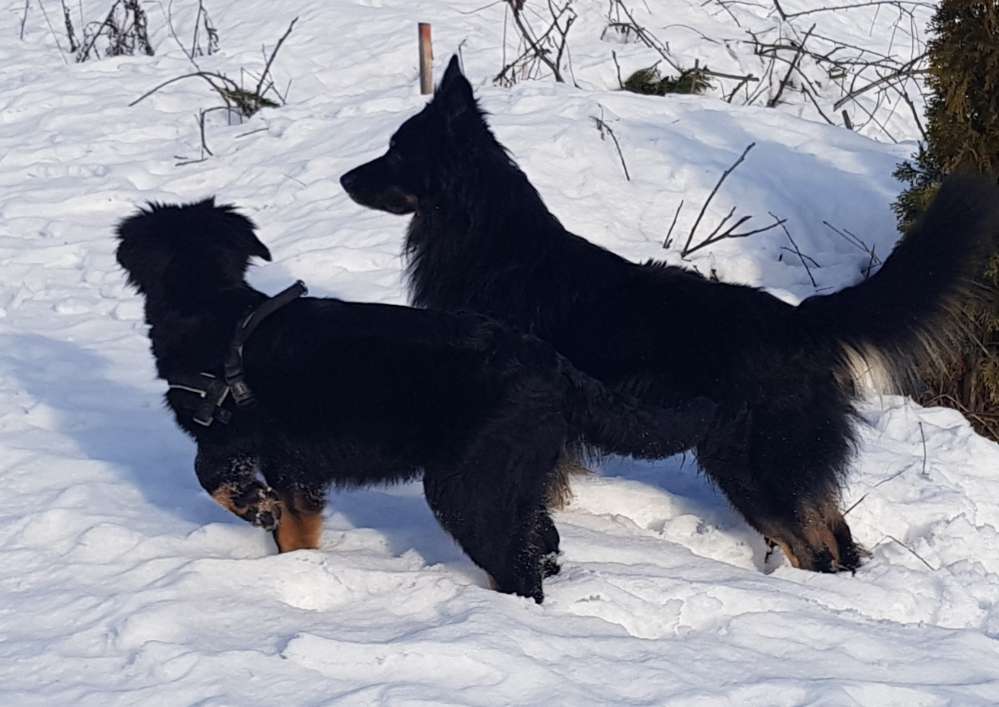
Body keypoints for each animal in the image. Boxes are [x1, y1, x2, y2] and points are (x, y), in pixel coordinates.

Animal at [115, 201, 720, 604]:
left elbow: (212, 478)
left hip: (465, 483)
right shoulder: (295, 465)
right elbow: (297, 530)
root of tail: (556, 366)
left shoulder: (227, 440)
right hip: (517, 479)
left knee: (519, 568)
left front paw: (257, 507)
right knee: (540, 545)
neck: (217, 309)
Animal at [342, 55, 999, 576]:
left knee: (814, 546)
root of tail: (798, 321)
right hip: (780, 461)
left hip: (752, 462)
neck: (486, 237)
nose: (344, 176)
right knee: (837, 535)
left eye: (396, 152)